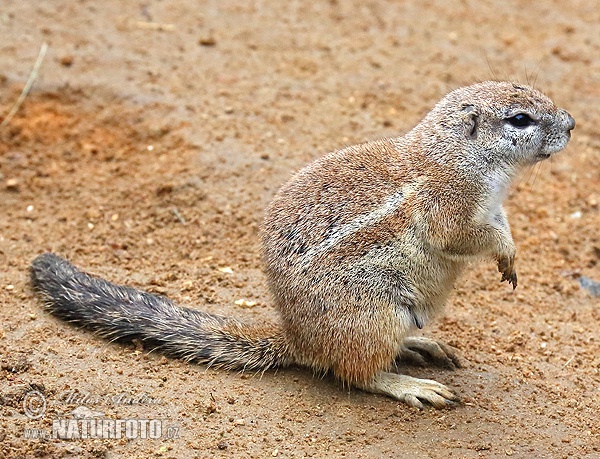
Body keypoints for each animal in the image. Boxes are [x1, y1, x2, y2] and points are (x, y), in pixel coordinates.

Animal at [30, 81, 576, 408]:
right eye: (520, 119)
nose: (571, 123)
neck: (456, 156)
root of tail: (298, 338)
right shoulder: (451, 204)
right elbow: (468, 236)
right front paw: (503, 253)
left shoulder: (493, 204)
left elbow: (501, 225)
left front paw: (512, 256)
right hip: (373, 314)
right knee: (355, 372)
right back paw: (410, 385)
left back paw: (420, 345)